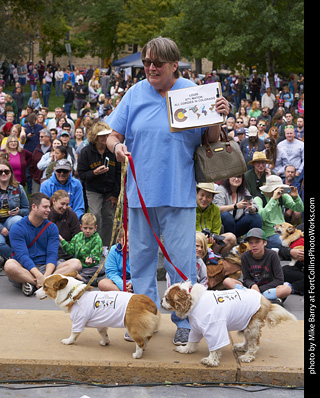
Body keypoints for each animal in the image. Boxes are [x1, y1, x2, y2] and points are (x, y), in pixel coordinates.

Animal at [162, 280, 298, 366]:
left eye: (167, 298)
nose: (161, 302)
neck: (193, 299)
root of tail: (265, 299)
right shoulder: (196, 328)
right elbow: (191, 341)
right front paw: (185, 349)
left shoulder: (214, 328)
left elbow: (215, 347)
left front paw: (211, 361)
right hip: (245, 323)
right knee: (247, 341)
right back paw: (242, 347)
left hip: (252, 327)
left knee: (254, 345)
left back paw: (247, 356)